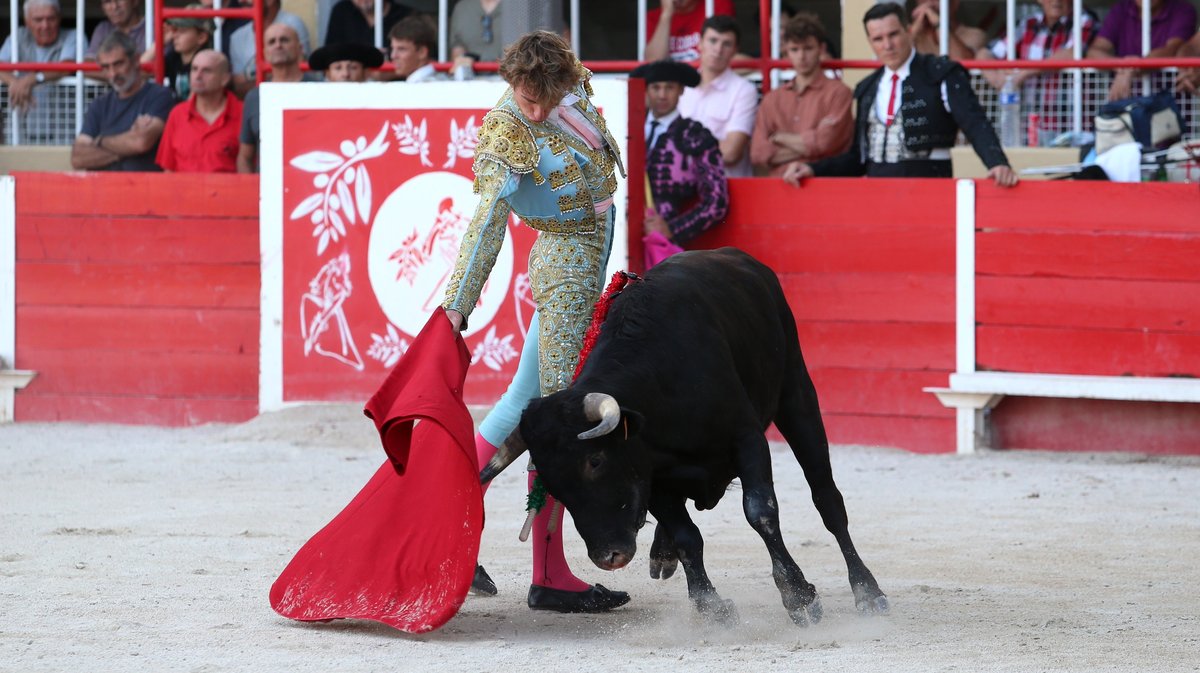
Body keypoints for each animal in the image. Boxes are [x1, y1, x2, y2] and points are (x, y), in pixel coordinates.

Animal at [480, 247, 892, 623]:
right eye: (552, 485)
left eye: (595, 461)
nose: (608, 557)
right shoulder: (652, 475)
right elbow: (686, 536)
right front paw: (710, 606)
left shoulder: (748, 440)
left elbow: (760, 512)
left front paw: (799, 596)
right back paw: (662, 553)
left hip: (797, 393)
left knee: (827, 500)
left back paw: (868, 592)